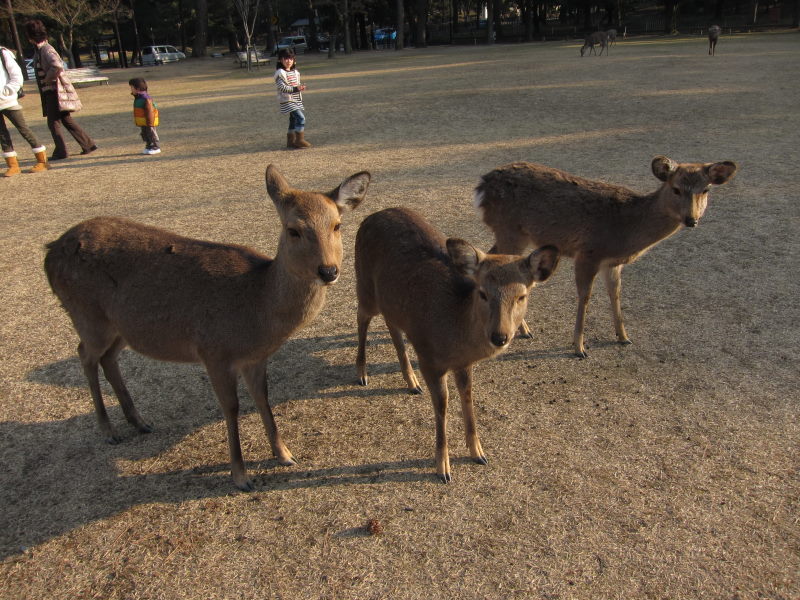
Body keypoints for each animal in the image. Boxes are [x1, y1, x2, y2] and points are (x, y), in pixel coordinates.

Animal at [47, 165, 376, 492]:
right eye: (293, 229)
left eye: (337, 225)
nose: (328, 271)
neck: (257, 307)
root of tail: (49, 251)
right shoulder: (213, 351)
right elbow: (231, 407)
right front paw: (241, 476)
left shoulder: (255, 358)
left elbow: (263, 398)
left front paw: (285, 454)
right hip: (88, 317)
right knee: (85, 355)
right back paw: (108, 431)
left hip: (121, 328)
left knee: (107, 358)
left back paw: (139, 422)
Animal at [354, 206, 560, 482]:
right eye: (482, 292)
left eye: (522, 296)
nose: (499, 336)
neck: (454, 334)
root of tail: (372, 215)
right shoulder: (428, 357)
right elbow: (442, 404)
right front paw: (443, 468)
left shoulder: (463, 364)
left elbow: (468, 396)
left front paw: (479, 453)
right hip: (364, 285)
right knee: (361, 318)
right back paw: (362, 373)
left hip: (391, 304)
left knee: (393, 328)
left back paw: (412, 382)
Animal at [472, 157, 740, 358]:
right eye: (676, 188)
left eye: (706, 189)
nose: (691, 219)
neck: (626, 229)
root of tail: (481, 186)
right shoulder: (589, 252)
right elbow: (585, 296)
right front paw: (579, 348)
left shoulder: (612, 263)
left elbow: (615, 293)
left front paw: (623, 337)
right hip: (510, 229)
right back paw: (524, 329)